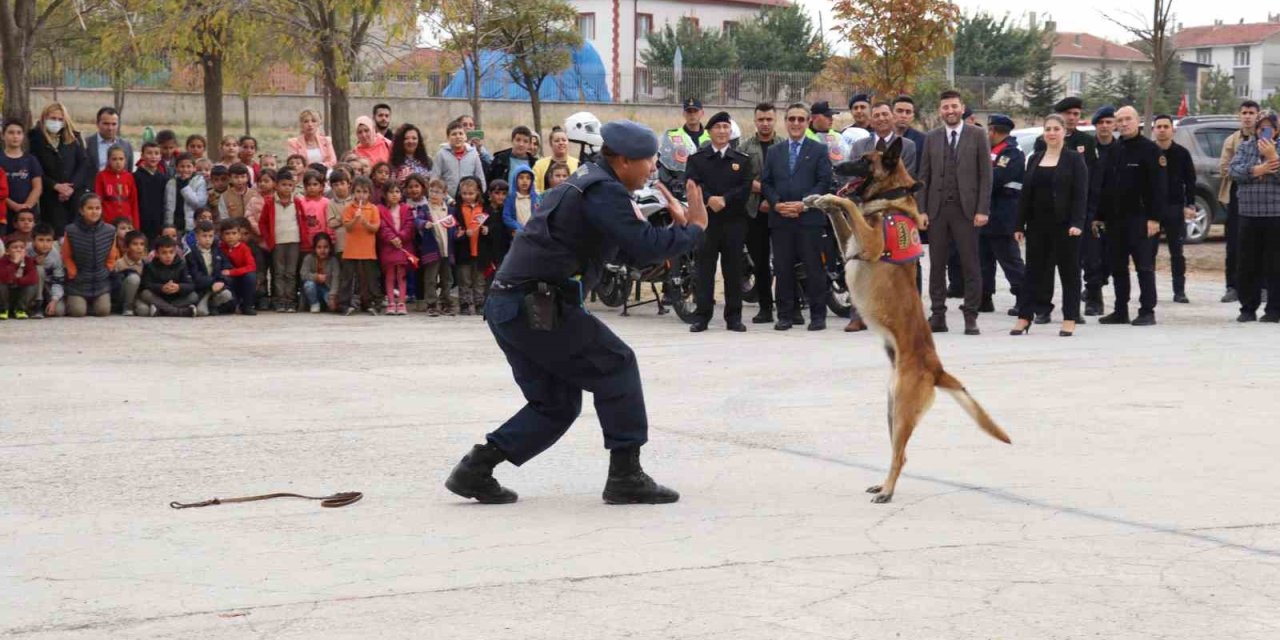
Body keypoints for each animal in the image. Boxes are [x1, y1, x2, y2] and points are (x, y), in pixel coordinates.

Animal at [798, 137, 1008, 501]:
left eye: (863, 160)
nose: (834, 166)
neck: (890, 201)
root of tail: (937, 369)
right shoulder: (851, 244)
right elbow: (843, 214)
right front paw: (820, 200)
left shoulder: (868, 243)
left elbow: (849, 205)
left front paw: (830, 197)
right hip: (891, 408)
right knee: (902, 453)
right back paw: (882, 485)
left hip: (903, 412)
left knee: (899, 455)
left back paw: (887, 491)